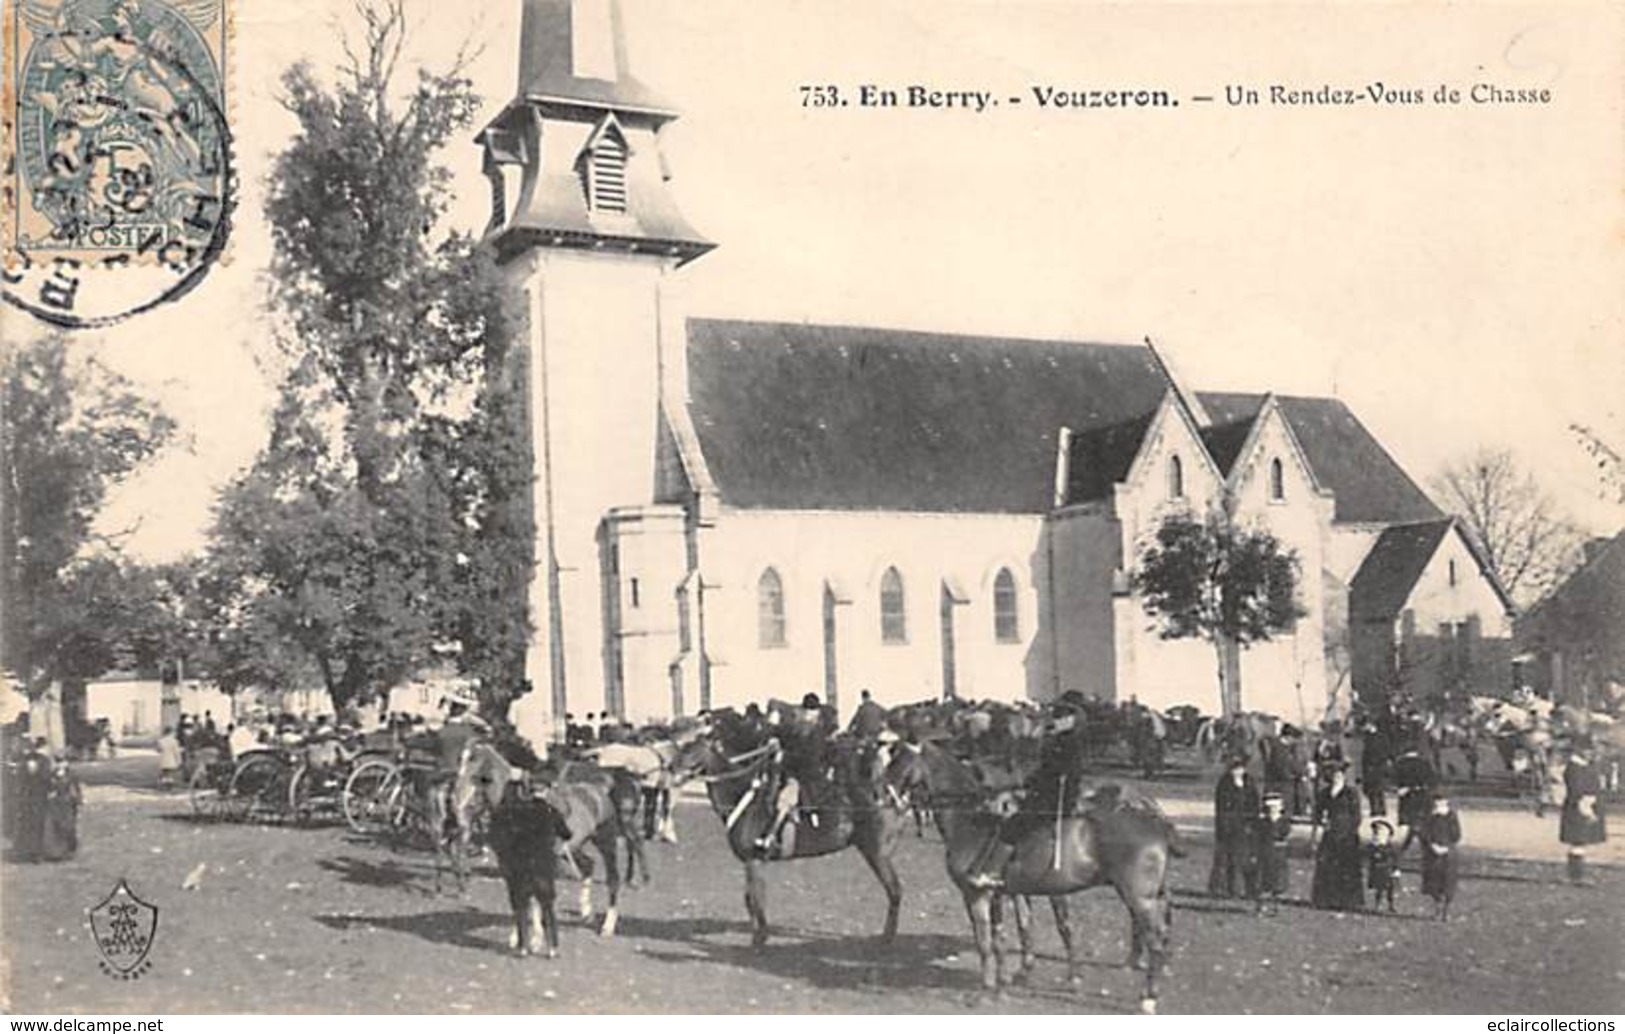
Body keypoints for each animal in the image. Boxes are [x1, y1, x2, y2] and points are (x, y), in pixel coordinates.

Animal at [689, 718, 910, 942]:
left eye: (689, 747)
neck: (742, 798)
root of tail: (889, 797)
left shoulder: (754, 861)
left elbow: (755, 900)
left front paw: (760, 938)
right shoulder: (752, 863)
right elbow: (750, 899)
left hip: (877, 855)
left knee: (895, 891)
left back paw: (887, 937)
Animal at [897, 738, 1176, 1014]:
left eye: (900, 762)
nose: (891, 799)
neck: (970, 821)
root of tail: (1155, 821)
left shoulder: (977, 895)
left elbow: (988, 940)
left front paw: (990, 989)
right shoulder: (1004, 893)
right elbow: (1010, 934)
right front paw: (1009, 981)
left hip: (1138, 897)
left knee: (1155, 939)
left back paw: (1148, 997)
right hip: (1147, 895)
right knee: (1157, 931)